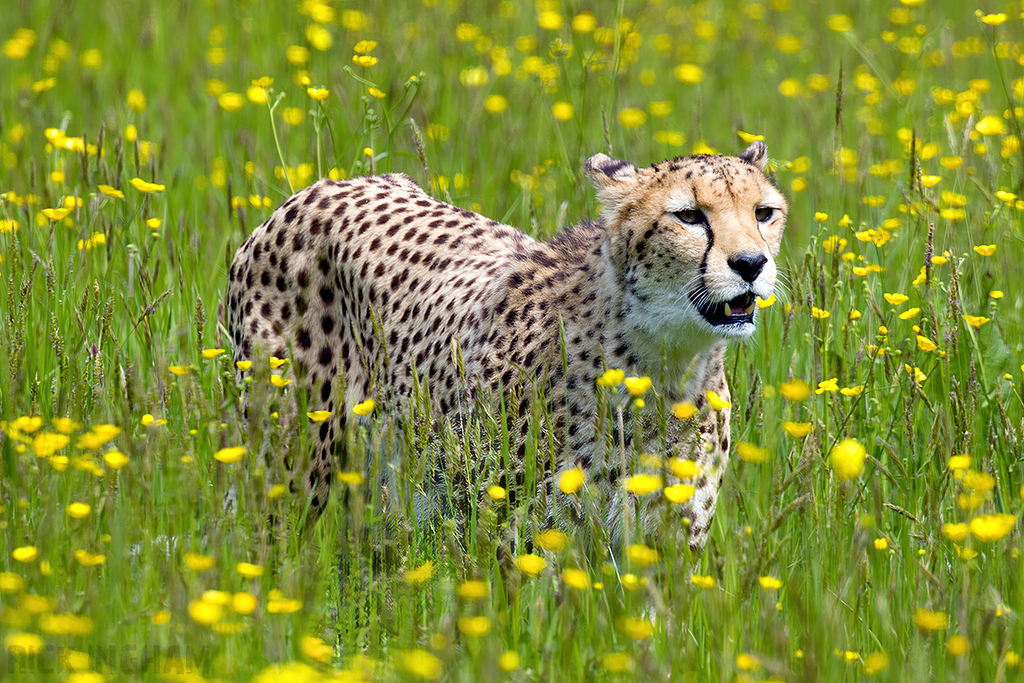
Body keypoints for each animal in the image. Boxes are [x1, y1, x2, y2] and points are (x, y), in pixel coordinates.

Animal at [228, 141, 786, 557]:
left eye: (764, 213)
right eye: (688, 216)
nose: (751, 263)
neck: (664, 361)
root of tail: (326, 186)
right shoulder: (521, 545)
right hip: (292, 469)